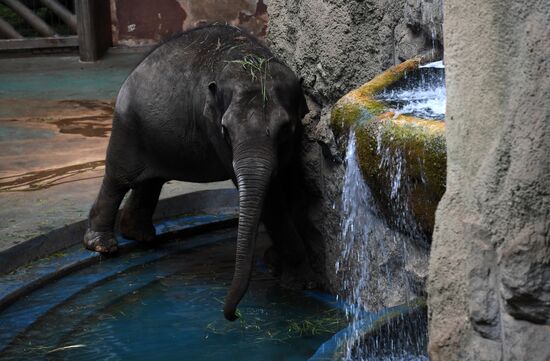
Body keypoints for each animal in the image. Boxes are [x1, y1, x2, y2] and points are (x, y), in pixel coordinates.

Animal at [82, 23, 314, 320]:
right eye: (226, 130)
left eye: (285, 128)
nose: (232, 315)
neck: (248, 60)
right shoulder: (213, 129)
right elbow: (272, 198)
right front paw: (299, 283)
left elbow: (290, 182)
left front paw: (278, 265)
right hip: (127, 128)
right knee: (119, 178)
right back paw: (103, 245)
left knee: (151, 182)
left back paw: (141, 236)